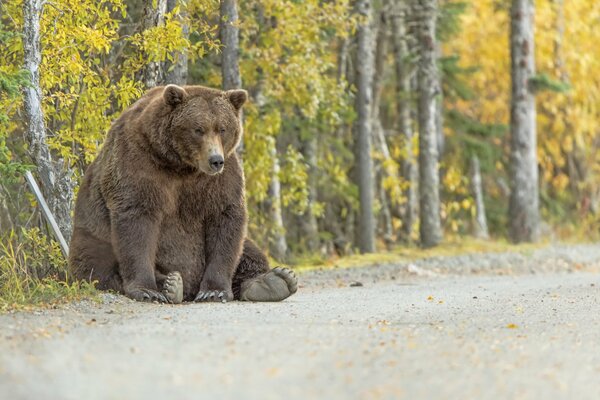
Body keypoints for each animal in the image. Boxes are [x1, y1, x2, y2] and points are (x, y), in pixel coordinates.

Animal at [68, 84, 298, 304]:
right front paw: (147, 290)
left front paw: (214, 291)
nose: (215, 160)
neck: (181, 165)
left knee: (248, 250)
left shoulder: (220, 179)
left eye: (222, 128)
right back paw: (171, 284)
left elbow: (226, 219)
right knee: (98, 264)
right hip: (92, 236)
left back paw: (274, 281)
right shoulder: (137, 162)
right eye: (198, 129)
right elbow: (137, 220)